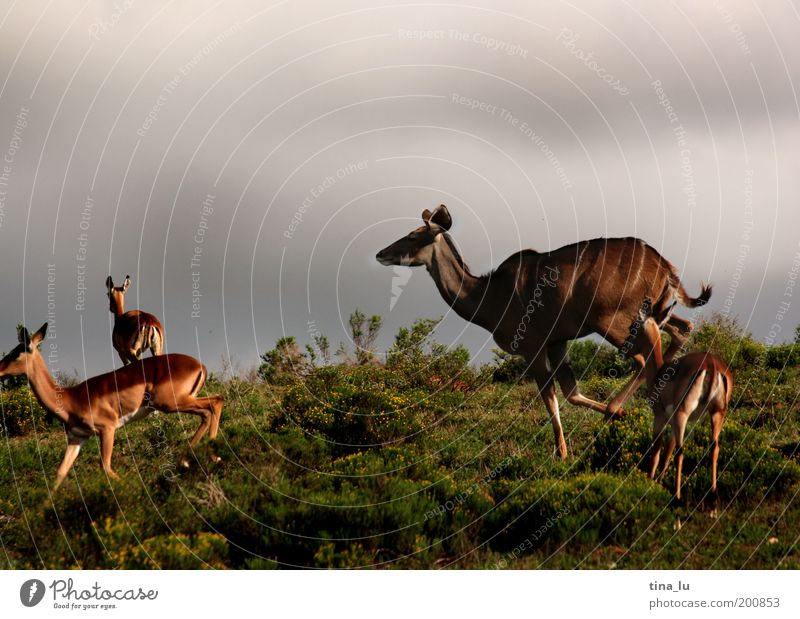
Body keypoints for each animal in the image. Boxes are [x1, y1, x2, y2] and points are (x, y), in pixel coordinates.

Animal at [0, 324, 223, 490]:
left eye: (15, 353)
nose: (0, 369)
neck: (71, 398)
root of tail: (200, 365)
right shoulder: (77, 437)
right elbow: (60, 472)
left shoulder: (107, 429)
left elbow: (105, 465)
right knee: (208, 411)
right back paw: (191, 460)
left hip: (171, 403)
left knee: (216, 402)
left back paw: (214, 457)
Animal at [376, 207, 712, 460]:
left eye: (413, 235)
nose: (381, 253)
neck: (487, 299)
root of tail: (664, 267)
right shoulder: (557, 341)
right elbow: (571, 393)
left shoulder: (532, 345)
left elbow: (550, 396)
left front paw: (562, 452)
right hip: (652, 312)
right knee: (681, 330)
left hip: (613, 320)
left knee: (646, 356)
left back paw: (621, 408)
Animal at [640, 318, 736, 502]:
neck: (659, 372)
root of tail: (712, 365)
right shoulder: (671, 425)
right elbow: (666, 454)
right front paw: (659, 482)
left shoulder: (660, 418)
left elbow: (657, 452)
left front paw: (650, 482)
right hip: (717, 413)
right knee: (714, 447)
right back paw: (712, 495)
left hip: (682, 415)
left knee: (680, 451)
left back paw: (677, 497)